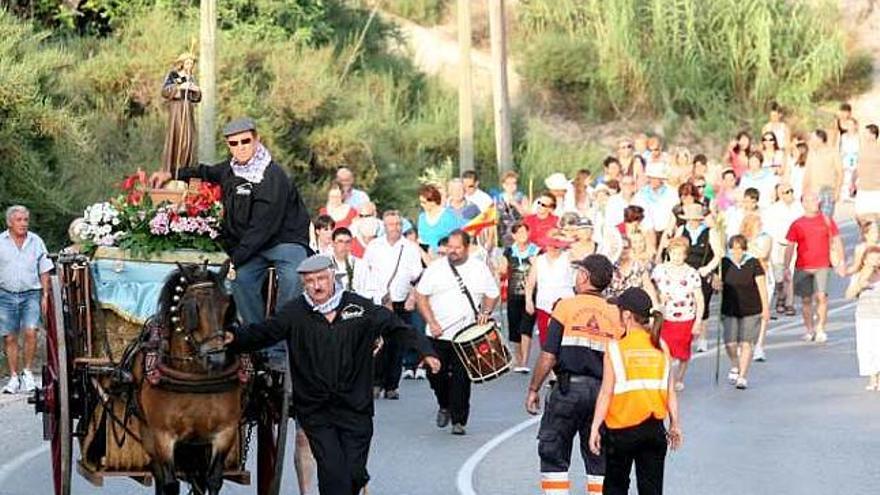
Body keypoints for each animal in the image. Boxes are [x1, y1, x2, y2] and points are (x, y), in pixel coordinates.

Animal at [129, 264, 244, 495]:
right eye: (193, 308)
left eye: (227, 305)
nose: (216, 358)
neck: (194, 377)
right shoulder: (162, 436)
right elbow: (170, 483)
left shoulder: (225, 432)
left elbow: (213, 479)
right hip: (149, 436)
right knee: (161, 476)